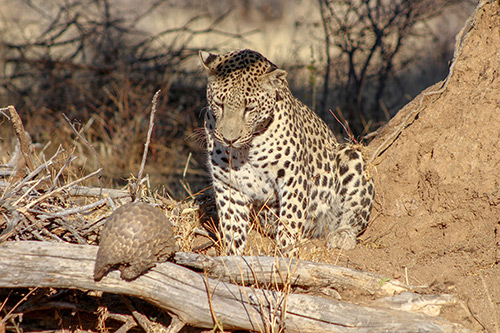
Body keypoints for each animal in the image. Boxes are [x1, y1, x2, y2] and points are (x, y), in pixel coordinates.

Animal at [199, 48, 376, 253]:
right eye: (219, 104)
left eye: (249, 109)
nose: (229, 139)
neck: (246, 150)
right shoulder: (228, 183)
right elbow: (231, 225)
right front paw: (233, 254)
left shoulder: (293, 178)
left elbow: (290, 219)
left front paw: (286, 252)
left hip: (350, 155)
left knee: (354, 214)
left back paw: (342, 235)